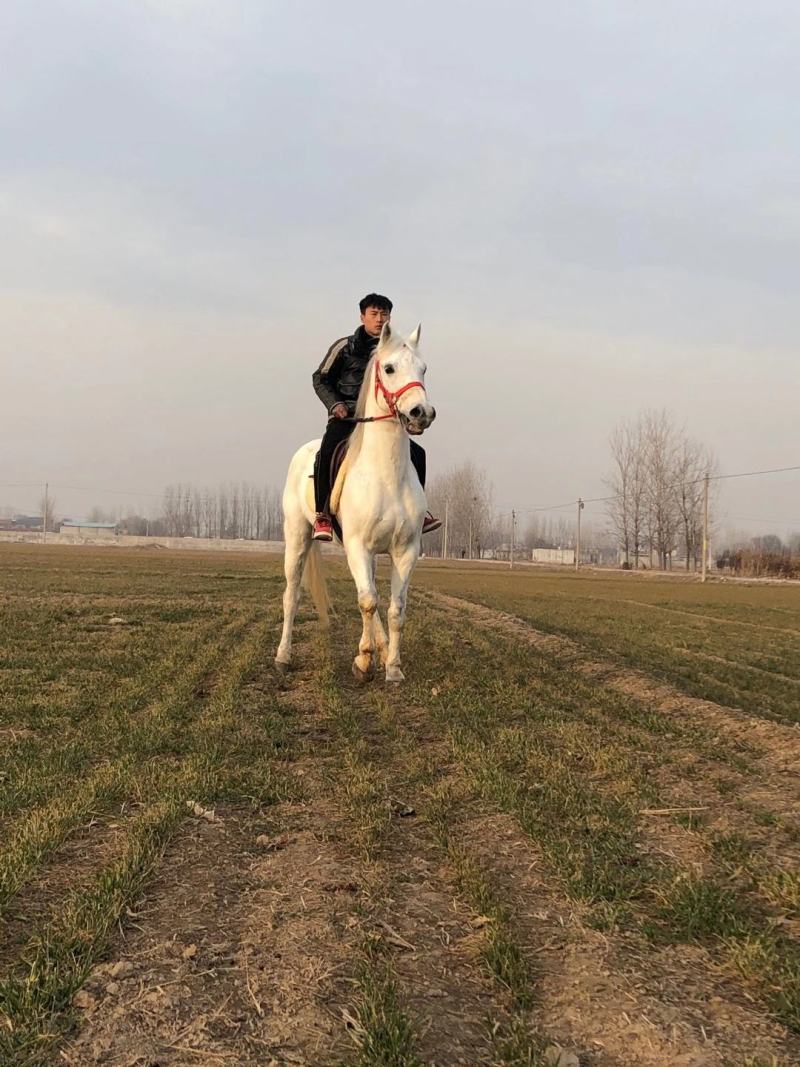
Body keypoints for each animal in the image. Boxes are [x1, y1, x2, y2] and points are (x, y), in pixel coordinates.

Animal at [275, 321, 436, 683]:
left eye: (423, 368)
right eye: (389, 368)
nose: (421, 413)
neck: (386, 475)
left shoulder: (404, 550)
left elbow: (394, 608)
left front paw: (392, 666)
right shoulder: (357, 545)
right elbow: (367, 603)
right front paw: (363, 661)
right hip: (298, 536)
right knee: (292, 595)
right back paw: (283, 656)